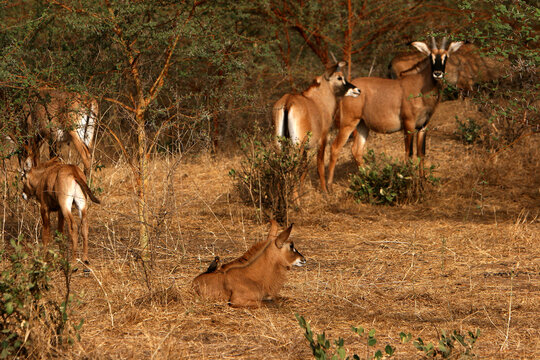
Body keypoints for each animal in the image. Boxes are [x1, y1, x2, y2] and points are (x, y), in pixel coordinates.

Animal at [272, 61, 360, 194]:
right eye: (339, 78)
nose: (357, 90)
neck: (319, 99)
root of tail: (287, 103)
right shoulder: (322, 139)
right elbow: (320, 167)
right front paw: (325, 191)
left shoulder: (305, 148)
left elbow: (304, 170)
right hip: (296, 146)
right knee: (293, 170)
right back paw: (295, 199)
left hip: (280, 145)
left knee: (279, 169)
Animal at [324, 37, 464, 190]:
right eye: (430, 56)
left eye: (446, 56)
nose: (437, 73)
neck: (421, 86)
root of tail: (348, 90)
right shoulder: (409, 125)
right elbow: (409, 152)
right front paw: (409, 182)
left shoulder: (423, 127)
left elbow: (421, 153)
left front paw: (422, 183)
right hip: (348, 123)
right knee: (335, 147)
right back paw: (329, 186)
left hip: (362, 126)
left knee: (356, 150)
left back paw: (368, 179)